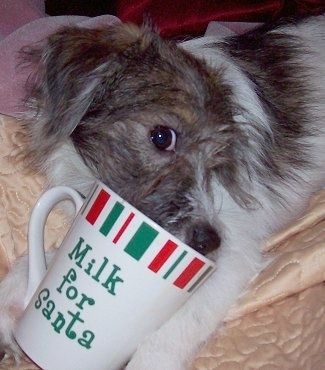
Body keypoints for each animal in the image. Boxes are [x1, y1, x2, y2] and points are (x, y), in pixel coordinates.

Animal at [0, 15, 324, 370]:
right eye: (161, 137)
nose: (209, 242)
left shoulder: (233, 255)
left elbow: (165, 340)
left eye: (217, 158)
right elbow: (41, 256)